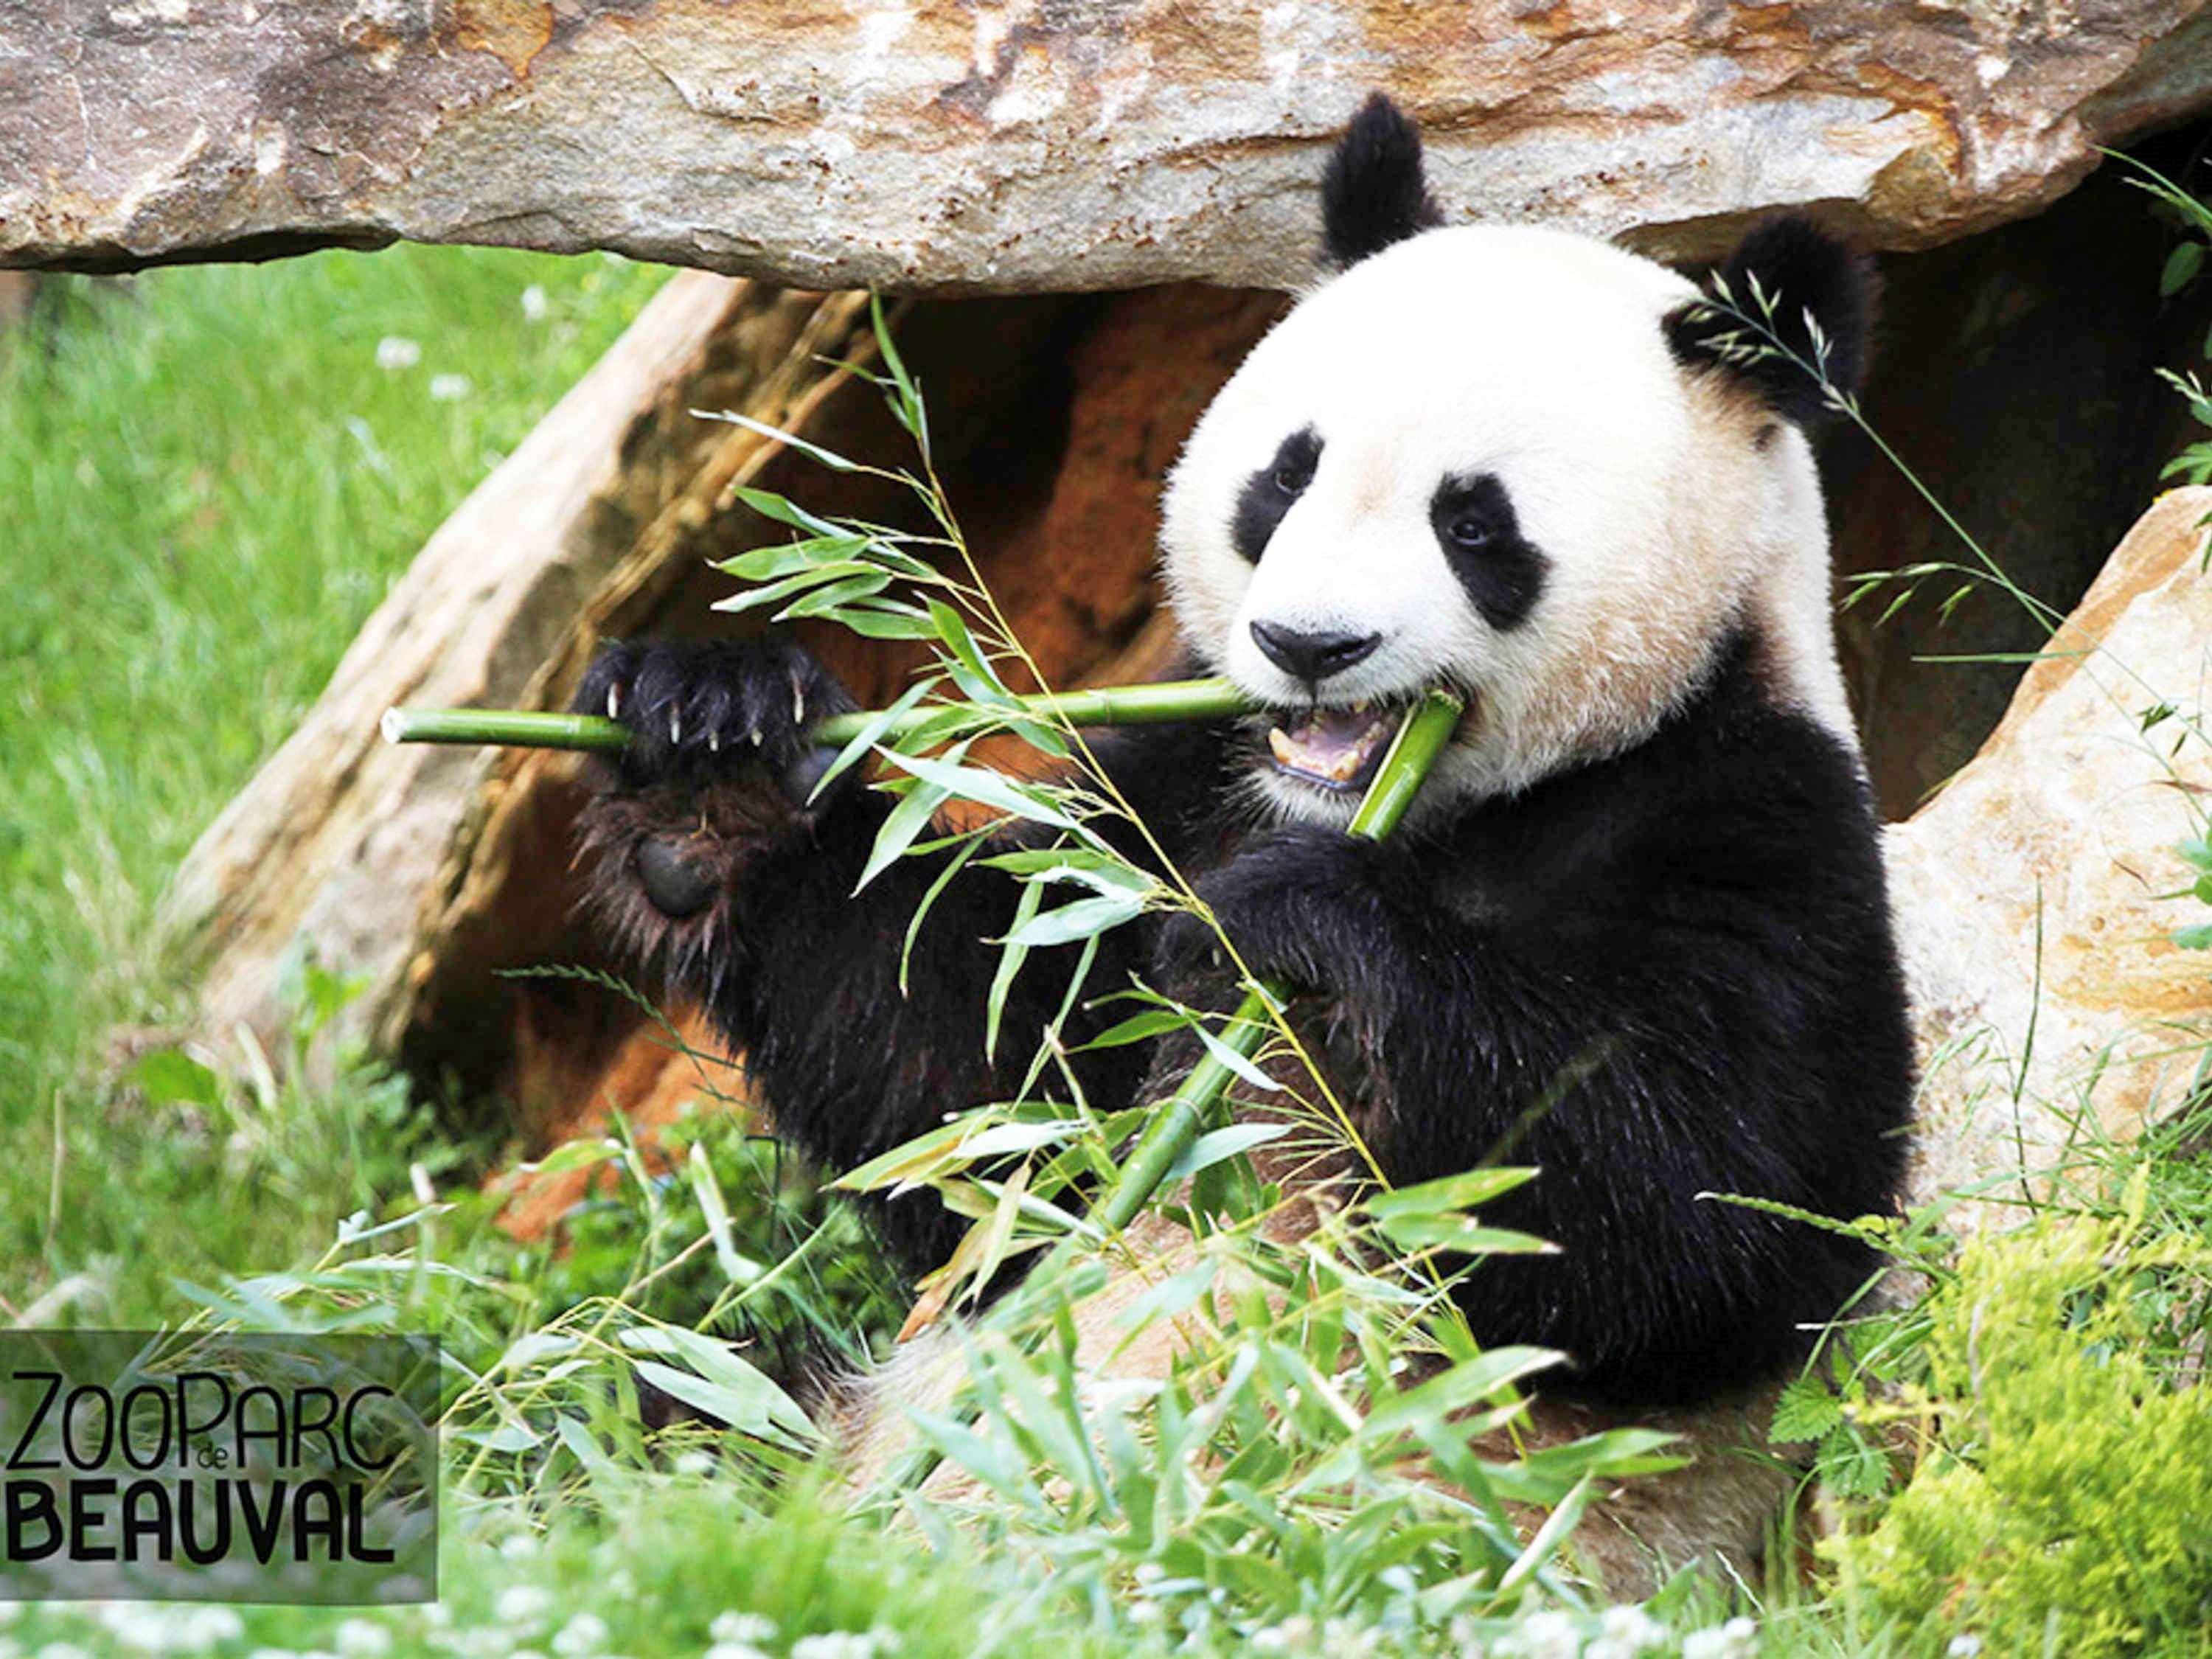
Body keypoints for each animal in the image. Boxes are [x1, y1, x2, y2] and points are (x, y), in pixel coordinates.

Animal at [575, 94, 1920, 1416]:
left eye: (1474, 523)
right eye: (1286, 475)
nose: (1309, 644)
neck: (1437, 811)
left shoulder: (1744, 815)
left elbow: (1703, 1214)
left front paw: (1298, 924)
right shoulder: (1183, 792)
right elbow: (975, 1079)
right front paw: (714, 748)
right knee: (661, 1412)